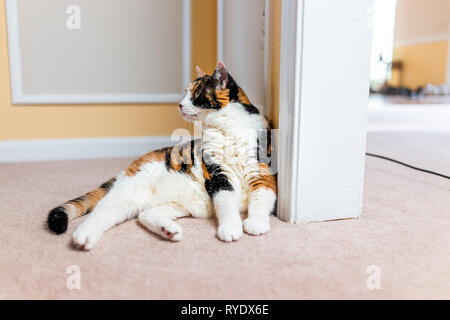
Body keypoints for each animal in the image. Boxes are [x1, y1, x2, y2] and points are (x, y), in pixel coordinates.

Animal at [47, 61, 276, 249]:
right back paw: (83, 238)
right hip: (129, 192)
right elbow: (226, 203)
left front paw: (256, 224)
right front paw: (231, 229)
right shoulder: (217, 175)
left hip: (171, 205)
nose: (180, 104)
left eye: (195, 95)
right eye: (184, 94)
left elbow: (262, 198)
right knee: (100, 213)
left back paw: (168, 230)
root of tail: (130, 167)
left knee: (144, 215)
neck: (227, 129)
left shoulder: (262, 173)